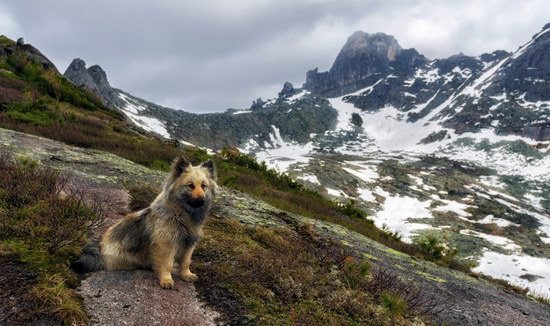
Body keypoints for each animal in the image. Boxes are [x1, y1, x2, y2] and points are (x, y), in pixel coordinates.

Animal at [73, 157, 218, 290]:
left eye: (204, 186)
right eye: (190, 185)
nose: (202, 200)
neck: (182, 215)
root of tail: (100, 248)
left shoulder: (189, 243)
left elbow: (186, 261)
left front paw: (186, 274)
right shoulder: (167, 244)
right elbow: (167, 264)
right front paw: (166, 280)